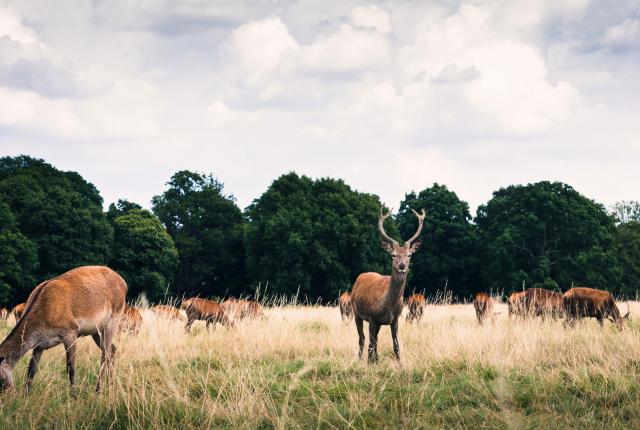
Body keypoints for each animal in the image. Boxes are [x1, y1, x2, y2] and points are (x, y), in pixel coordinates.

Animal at [350, 206, 425, 363]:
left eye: (409, 255)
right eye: (393, 255)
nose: (402, 265)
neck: (387, 306)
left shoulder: (394, 319)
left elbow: (396, 345)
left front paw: (400, 363)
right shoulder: (372, 317)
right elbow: (370, 344)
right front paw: (369, 363)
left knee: (374, 340)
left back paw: (375, 359)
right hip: (356, 313)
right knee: (362, 339)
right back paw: (360, 359)